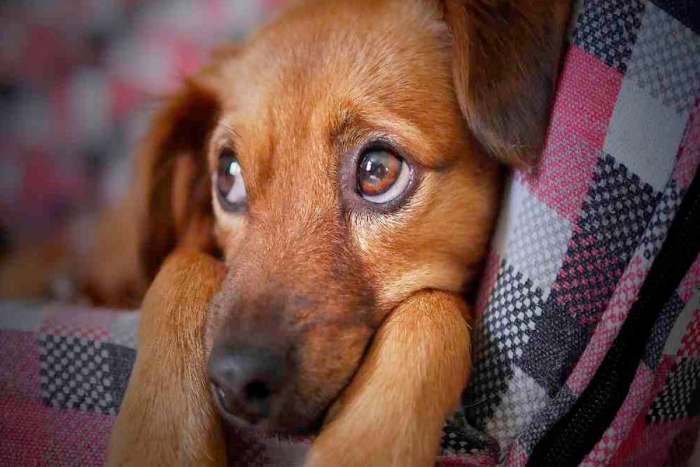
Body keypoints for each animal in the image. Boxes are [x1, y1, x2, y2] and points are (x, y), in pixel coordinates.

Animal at [2, 0, 572, 464]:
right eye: (228, 175)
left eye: (378, 170)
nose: (235, 381)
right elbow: (182, 265)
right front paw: (160, 442)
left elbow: (433, 311)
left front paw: (363, 447)